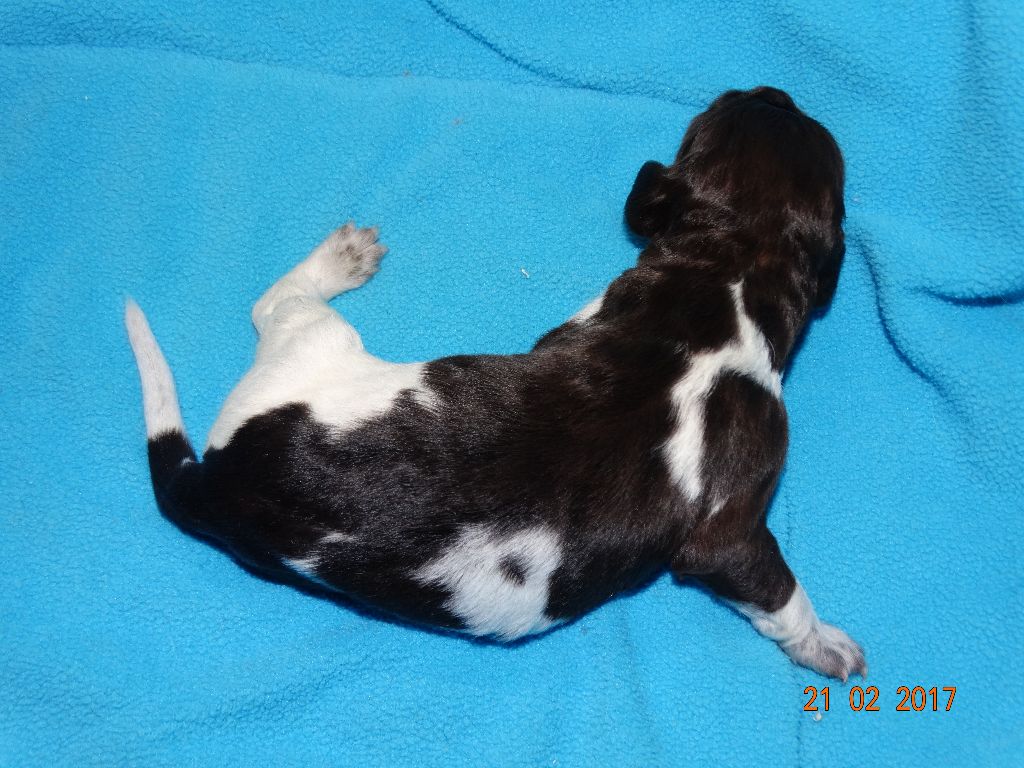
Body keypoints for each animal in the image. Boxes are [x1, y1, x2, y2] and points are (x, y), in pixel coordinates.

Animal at [126, 86, 865, 680]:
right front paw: (826, 644)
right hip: (316, 338)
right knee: (273, 302)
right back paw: (339, 259)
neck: (726, 271)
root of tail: (215, 476)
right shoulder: (731, 531)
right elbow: (779, 591)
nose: (773, 92)